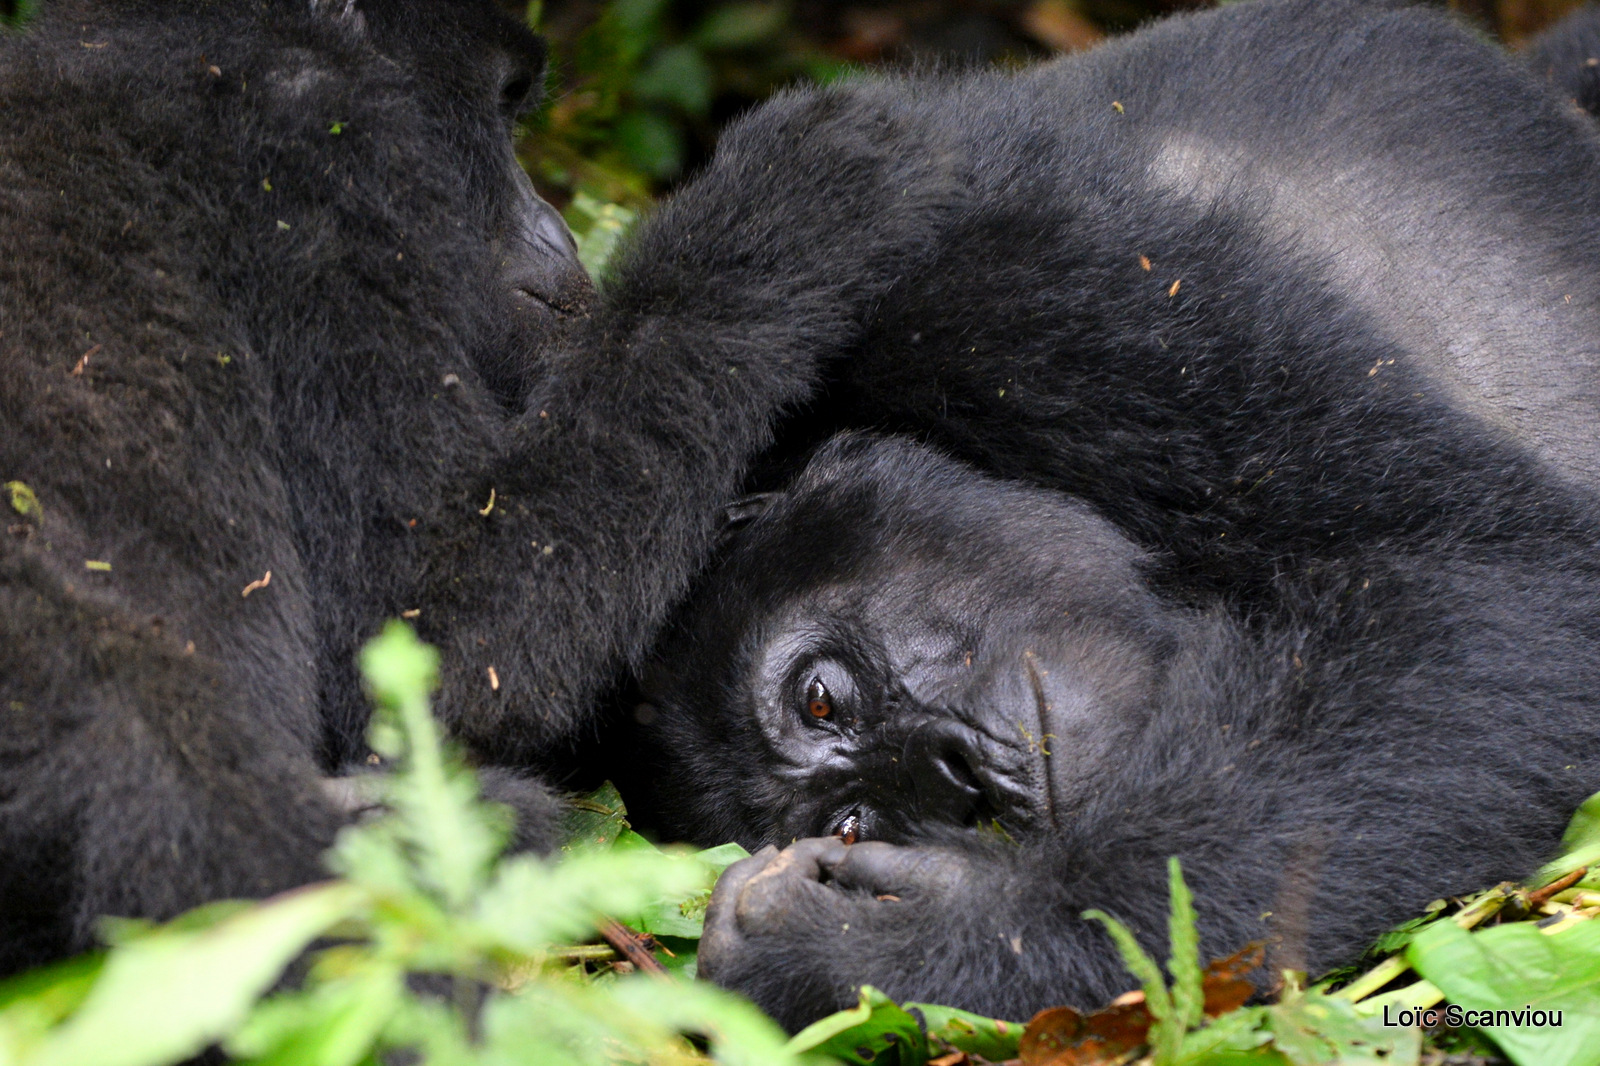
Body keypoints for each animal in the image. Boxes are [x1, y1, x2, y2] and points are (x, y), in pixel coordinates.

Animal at [620, 0, 1600, 1030]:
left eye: (818, 697)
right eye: (852, 821)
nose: (957, 779)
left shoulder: (994, 282)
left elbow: (1470, 574)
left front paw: (905, 940)